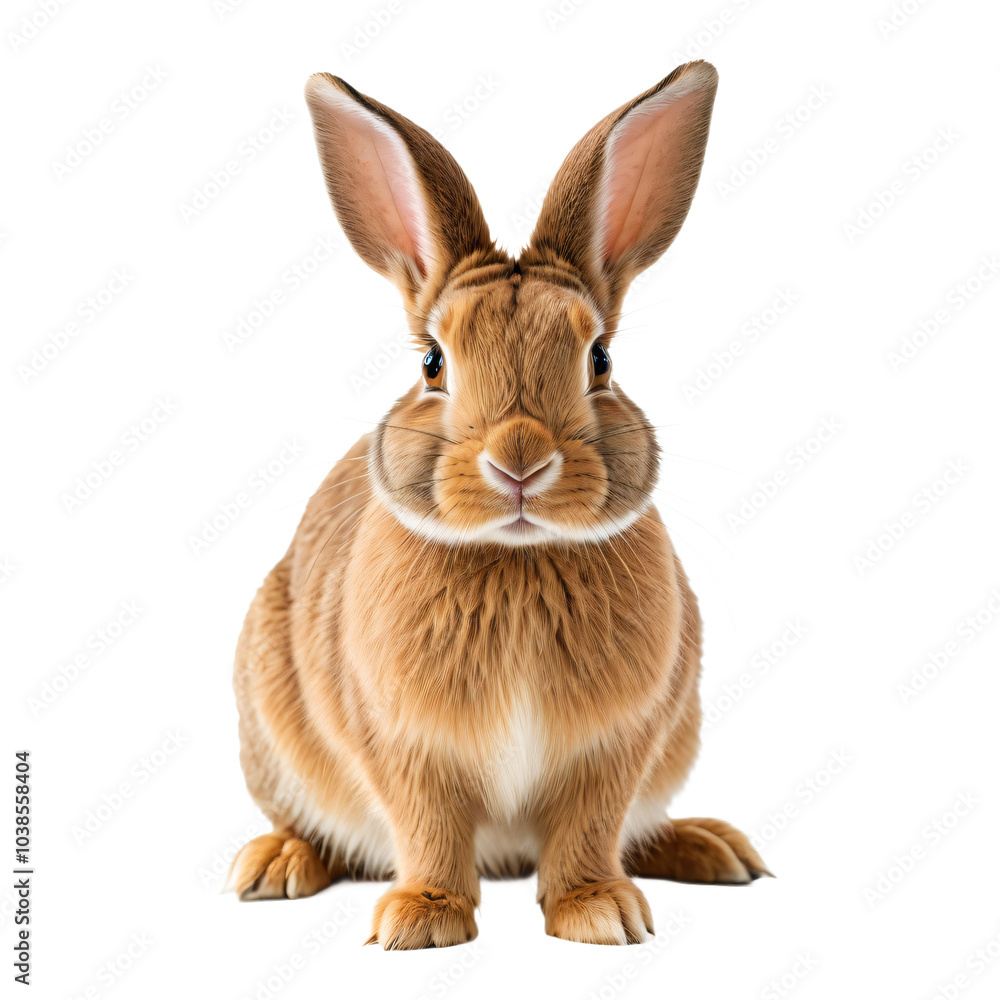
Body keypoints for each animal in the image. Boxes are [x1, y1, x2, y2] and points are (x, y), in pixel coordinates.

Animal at [224, 59, 771, 950]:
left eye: (601, 359)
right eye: (433, 363)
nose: (520, 460)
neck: (518, 558)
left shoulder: (616, 746)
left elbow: (588, 829)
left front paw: (600, 913)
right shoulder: (404, 747)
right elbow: (429, 829)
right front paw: (421, 920)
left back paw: (715, 849)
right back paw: (274, 866)